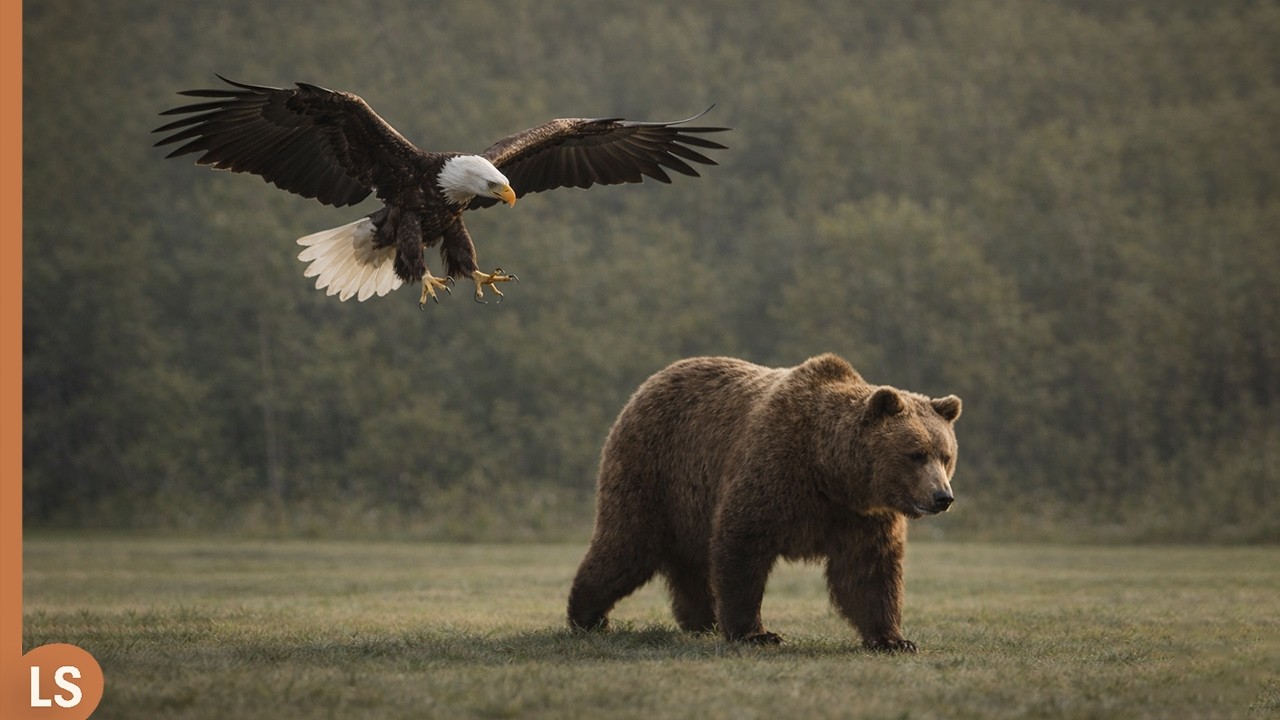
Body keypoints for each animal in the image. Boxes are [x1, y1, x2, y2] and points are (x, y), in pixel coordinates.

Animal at [566, 353, 962, 652]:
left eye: (946, 455)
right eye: (915, 454)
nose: (942, 497)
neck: (829, 472)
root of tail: (648, 384)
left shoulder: (860, 515)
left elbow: (869, 571)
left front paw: (893, 639)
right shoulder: (773, 472)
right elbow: (743, 545)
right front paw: (757, 633)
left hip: (690, 505)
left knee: (689, 564)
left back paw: (702, 620)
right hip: (654, 471)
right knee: (627, 544)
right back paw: (588, 616)